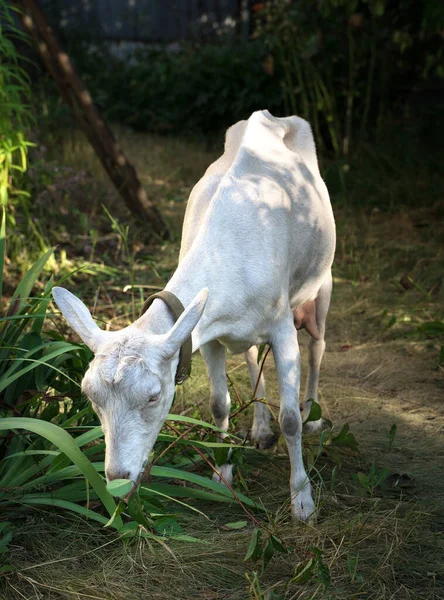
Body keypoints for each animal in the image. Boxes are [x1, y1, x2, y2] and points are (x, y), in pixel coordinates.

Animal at [53, 111, 336, 520]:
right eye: (90, 396)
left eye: (154, 397)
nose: (118, 481)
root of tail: (272, 116)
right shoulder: (206, 333)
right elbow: (219, 405)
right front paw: (223, 474)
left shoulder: (282, 326)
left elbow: (290, 420)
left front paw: (302, 498)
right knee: (252, 354)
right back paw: (260, 429)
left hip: (322, 282)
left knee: (317, 344)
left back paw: (313, 413)